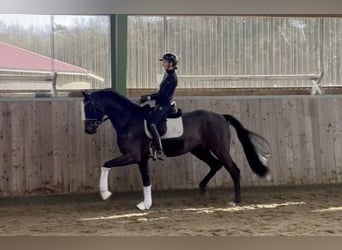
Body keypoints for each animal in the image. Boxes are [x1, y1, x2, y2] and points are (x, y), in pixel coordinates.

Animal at [81, 89, 272, 210]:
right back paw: (202, 189)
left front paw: (105, 194)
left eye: (89, 106)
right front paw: (146, 205)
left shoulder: (132, 156)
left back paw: (236, 201)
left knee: (234, 170)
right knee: (215, 165)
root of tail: (220, 116)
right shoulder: (141, 159)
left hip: (220, 149)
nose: (89, 130)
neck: (129, 120)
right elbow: (146, 180)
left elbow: (105, 165)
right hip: (199, 150)